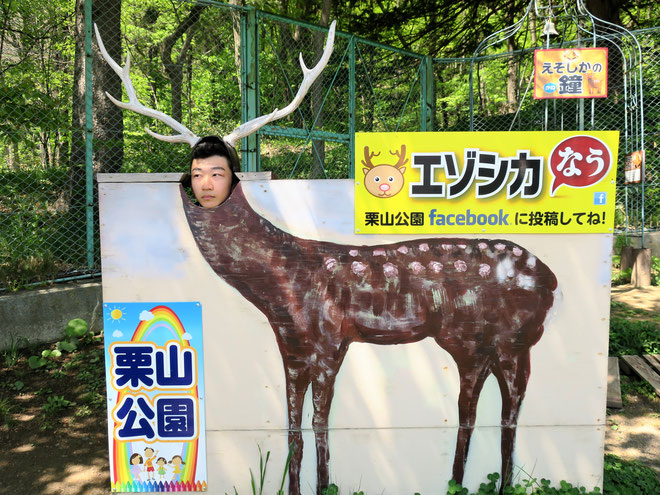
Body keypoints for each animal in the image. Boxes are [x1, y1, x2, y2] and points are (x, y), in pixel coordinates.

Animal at [94, 21, 556, 494]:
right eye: (194, 167)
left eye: (221, 167)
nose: (199, 186)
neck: (281, 289)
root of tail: (551, 280)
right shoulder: (291, 346)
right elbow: (292, 426)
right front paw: (294, 485)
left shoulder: (330, 339)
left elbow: (320, 424)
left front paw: (323, 485)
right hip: (474, 344)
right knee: (475, 409)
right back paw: (460, 481)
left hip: (510, 339)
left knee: (510, 408)